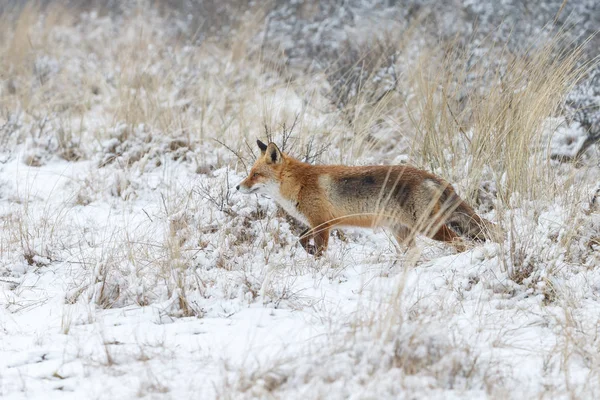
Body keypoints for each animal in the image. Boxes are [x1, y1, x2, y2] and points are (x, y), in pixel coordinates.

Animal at [237, 141, 500, 256]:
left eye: (255, 174)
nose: (238, 186)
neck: (299, 184)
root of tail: (433, 177)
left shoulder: (322, 225)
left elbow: (316, 249)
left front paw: (317, 263)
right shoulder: (319, 223)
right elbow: (300, 239)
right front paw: (309, 252)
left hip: (429, 227)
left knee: (461, 241)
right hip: (403, 233)